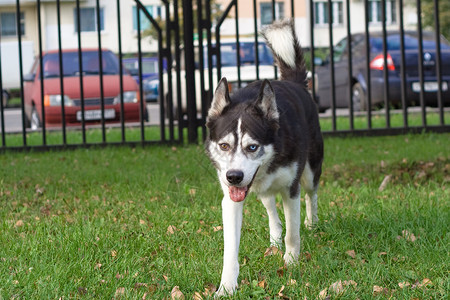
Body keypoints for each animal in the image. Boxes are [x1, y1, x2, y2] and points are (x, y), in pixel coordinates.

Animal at [204, 18, 324, 296]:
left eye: (252, 147)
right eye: (224, 146)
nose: (234, 176)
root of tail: (295, 83)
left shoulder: (291, 189)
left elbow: (293, 232)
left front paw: (291, 262)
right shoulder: (231, 199)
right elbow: (230, 250)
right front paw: (227, 286)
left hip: (311, 170)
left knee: (311, 194)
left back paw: (311, 223)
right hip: (263, 191)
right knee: (271, 209)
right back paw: (274, 239)